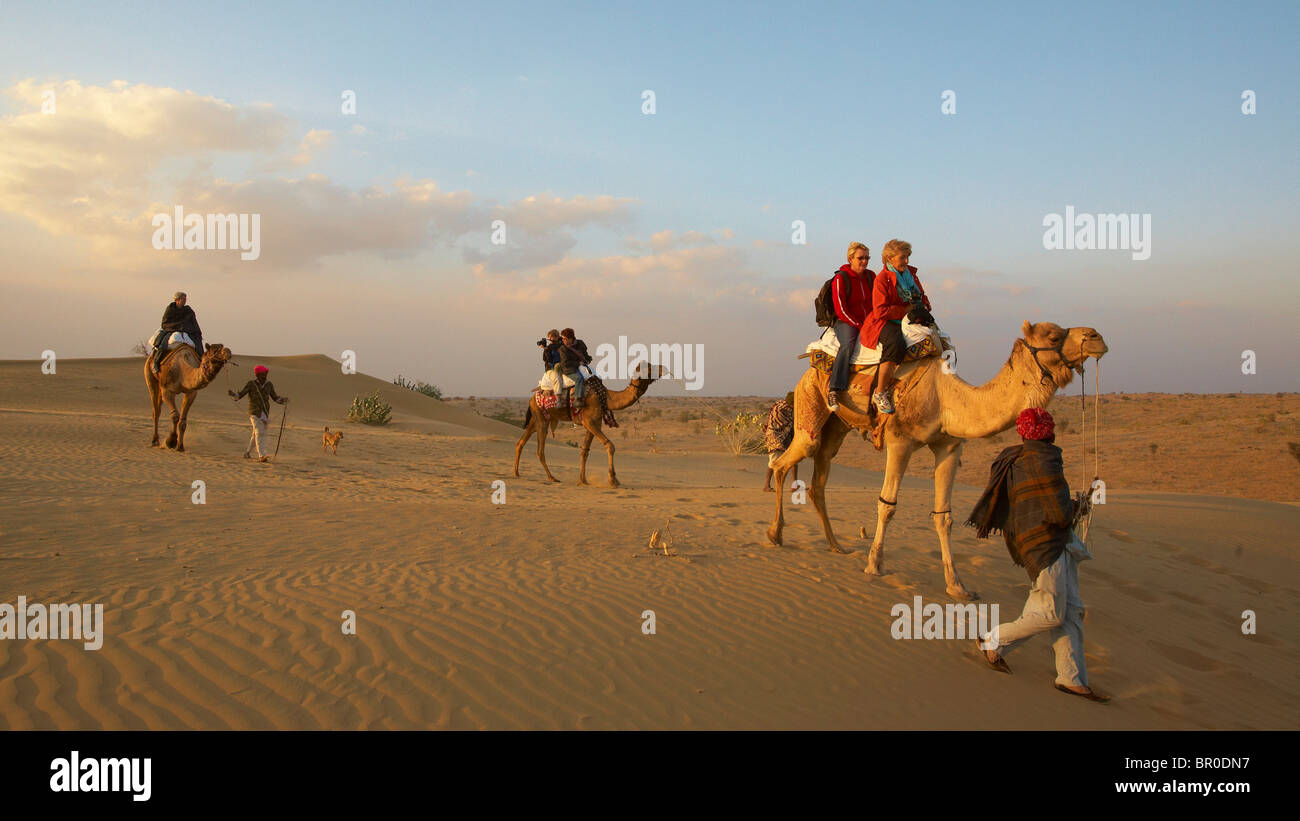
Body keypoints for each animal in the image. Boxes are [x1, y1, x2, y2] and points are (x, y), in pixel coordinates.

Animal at [514, 361, 665, 483]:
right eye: (650, 368)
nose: (662, 368)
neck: (606, 398)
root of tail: (532, 398)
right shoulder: (588, 421)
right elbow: (610, 445)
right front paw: (613, 479)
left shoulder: (595, 423)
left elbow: (584, 452)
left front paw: (583, 480)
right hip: (542, 419)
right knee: (540, 450)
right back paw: (552, 477)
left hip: (537, 419)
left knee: (521, 442)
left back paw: (516, 473)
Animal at [764, 323, 1112, 600]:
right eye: (1054, 335)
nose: (1096, 337)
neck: (946, 397)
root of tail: (808, 368)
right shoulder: (900, 441)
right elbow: (887, 505)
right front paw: (874, 566)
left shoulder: (949, 446)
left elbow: (944, 516)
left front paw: (958, 586)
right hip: (810, 405)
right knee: (783, 464)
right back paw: (775, 535)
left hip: (837, 428)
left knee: (818, 480)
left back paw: (836, 545)